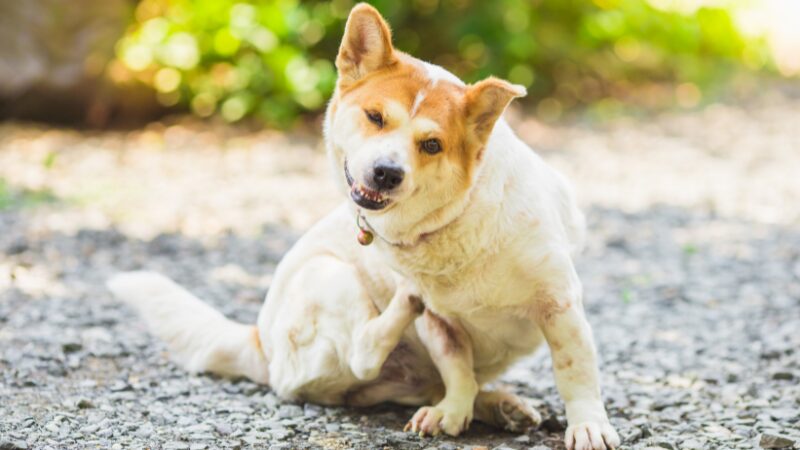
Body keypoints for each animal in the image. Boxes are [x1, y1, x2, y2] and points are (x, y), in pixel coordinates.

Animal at [108, 4, 620, 450]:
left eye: (431, 144)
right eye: (375, 117)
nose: (386, 173)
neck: (456, 219)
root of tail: (259, 342)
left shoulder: (560, 305)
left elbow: (574, 370)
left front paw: (587, 426)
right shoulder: (440, 324)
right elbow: (456, 367)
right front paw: (453, 410)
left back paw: (499, 405)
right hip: (329, 275)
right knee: (364, 352)